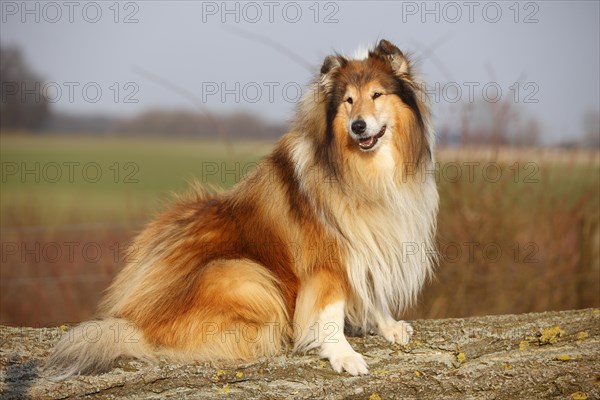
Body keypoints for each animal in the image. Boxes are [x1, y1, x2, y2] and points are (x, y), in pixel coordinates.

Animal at [47, 39, 438, 376]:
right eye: (348, 101)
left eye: (377, 95)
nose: (358, 126)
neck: (361, 170)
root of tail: (133, 323)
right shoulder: (328, 258)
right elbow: (330, 310)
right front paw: (343, 354)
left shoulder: (369, 243)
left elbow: (372, 290)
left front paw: (388, 325)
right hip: (242, 273)